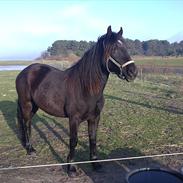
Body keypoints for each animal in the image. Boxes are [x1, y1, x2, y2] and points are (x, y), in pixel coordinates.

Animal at [15, 26, 137, 174]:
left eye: (125, 46)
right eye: (114, 48)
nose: (133, 72)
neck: (86, 88)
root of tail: (24, 72)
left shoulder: (95, 117)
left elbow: (93, 139)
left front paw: (95, 163)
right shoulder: (74, 119)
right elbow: (74, 141)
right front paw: (71, 167)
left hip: (34, 106)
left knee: (27, 123)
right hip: (26, 104)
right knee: (26, 123)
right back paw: (30, 149)